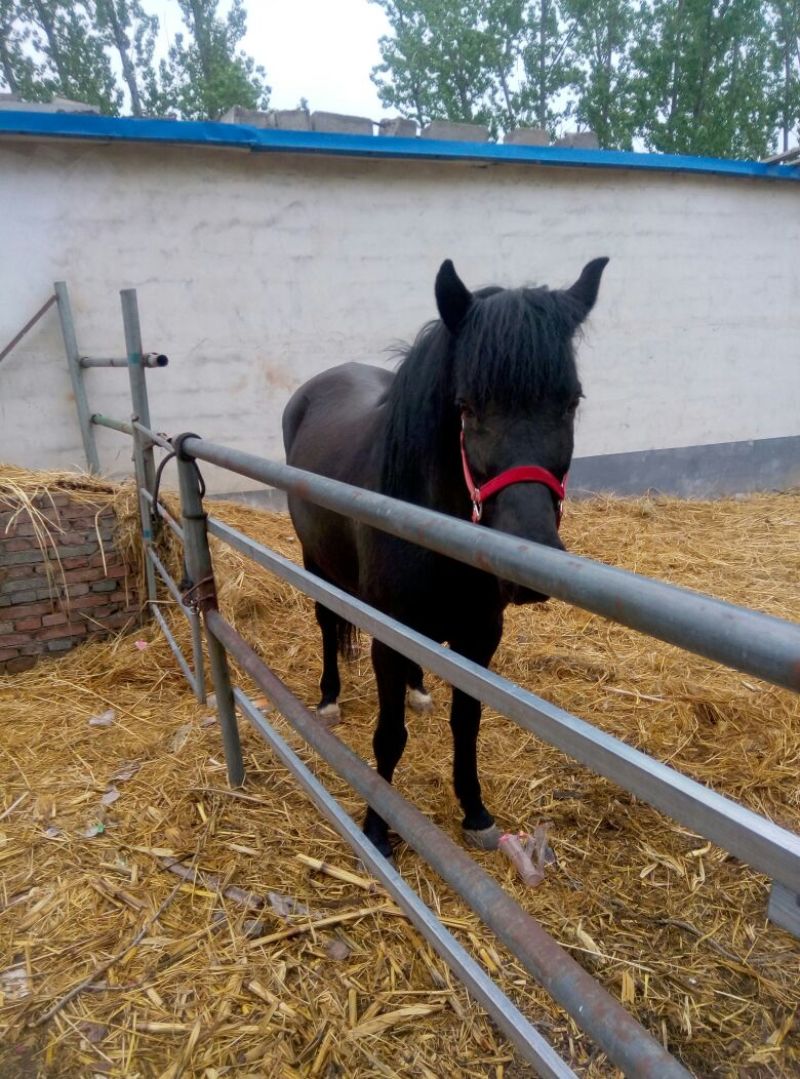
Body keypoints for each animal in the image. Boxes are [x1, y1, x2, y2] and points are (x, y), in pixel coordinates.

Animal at [282, 256, 608, 857]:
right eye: (466, 407)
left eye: (571, 401)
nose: (528, 565)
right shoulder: (387, 637)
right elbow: (388, 737)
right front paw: (378, 826)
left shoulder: (479, 638)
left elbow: (467, 721)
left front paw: (475, 812)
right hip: (318, 564)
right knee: (327, 625)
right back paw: (329, 698)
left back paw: (417, 690)